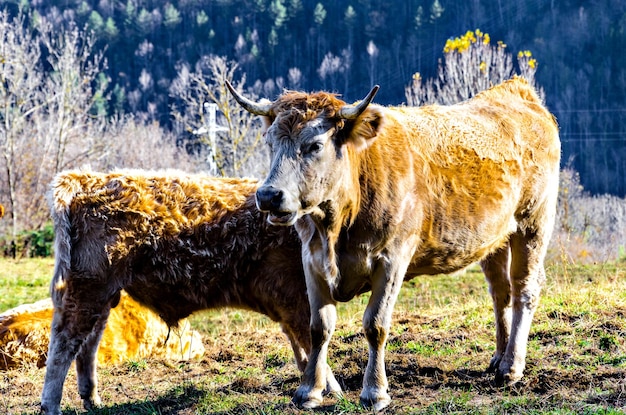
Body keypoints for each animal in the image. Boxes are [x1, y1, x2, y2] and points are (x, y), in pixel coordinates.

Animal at [40, 169, 336, 415]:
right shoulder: (295, 297)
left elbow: (302, 345)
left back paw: (91, 399)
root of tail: (88, 178)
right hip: (89, 289)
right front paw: (327, 389)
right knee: (65, 342)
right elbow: (312, 341)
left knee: (88, 344)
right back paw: (51, 405)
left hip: (103, 295)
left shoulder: (287, 302)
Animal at [227, 76, 560, 412]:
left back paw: (512, 367)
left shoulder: (392, 259)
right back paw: (499, 358)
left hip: (533, 223)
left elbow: (375, 325)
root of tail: (515, 91)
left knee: (524, 289)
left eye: (315, 145)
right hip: (496, 238)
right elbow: (319, 326)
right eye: (270, 143)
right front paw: (309, 390)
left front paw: (375, 392)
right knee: (500, 291)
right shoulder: (312, 258)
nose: (269, 195)